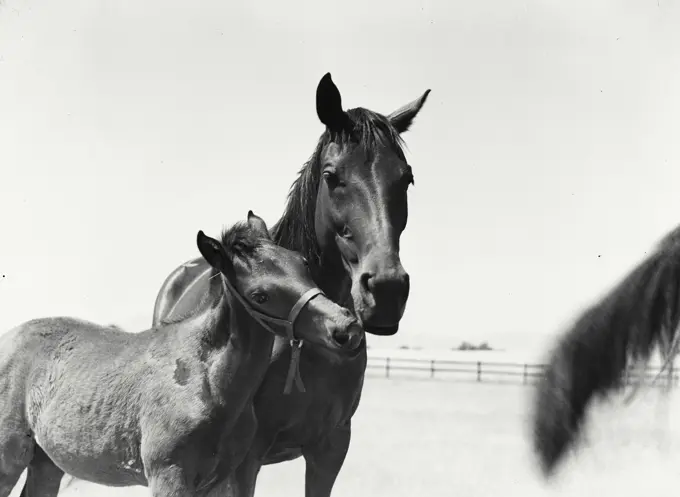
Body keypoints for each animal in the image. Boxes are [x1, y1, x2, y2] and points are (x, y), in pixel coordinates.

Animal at [0, 212, 364, 496]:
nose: (346, 329)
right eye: (260, 296)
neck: (206, 381)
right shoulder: (168, 476)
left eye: (303, 264)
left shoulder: (219, 480)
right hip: (9, 459)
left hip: (46, 462)